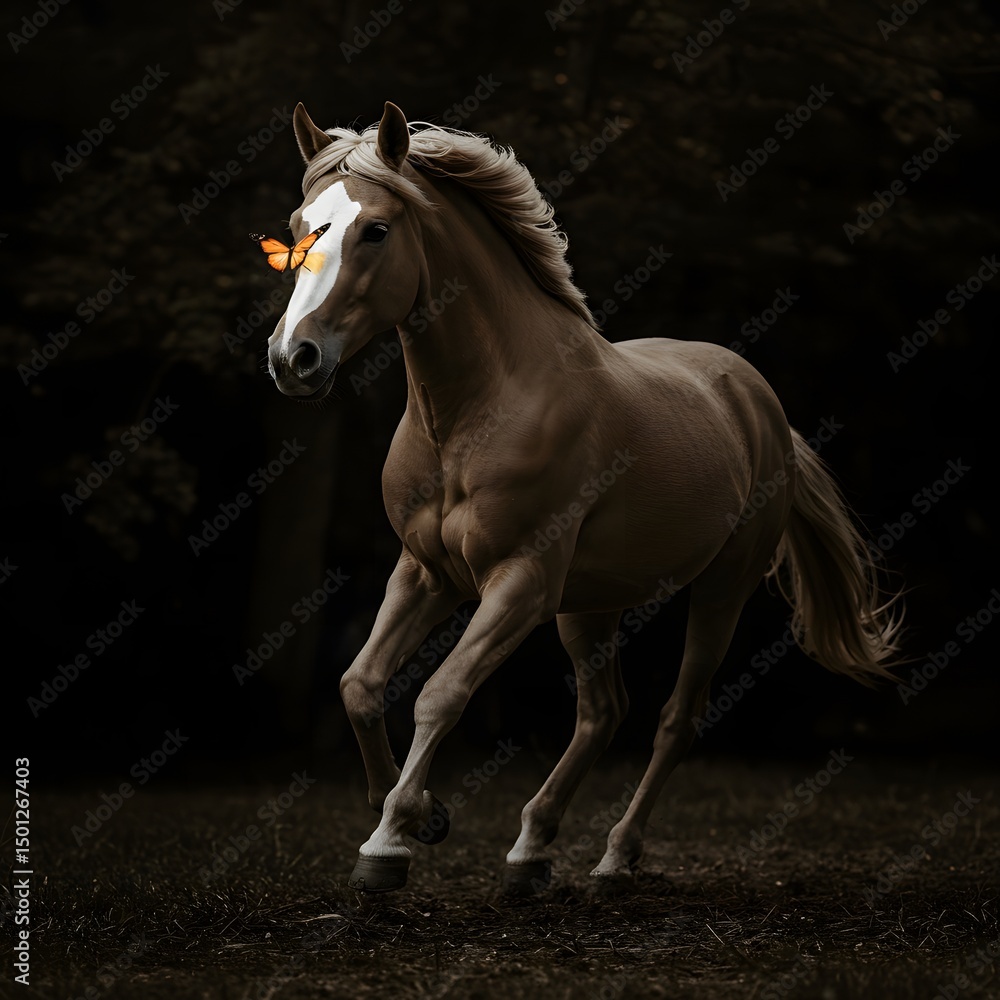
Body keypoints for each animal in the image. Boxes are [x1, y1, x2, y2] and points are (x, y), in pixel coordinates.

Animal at [265, 101, 902, 895]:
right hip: (591, 603)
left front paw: (389, 841)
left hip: (720, 588)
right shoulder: (426, 573)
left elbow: (441, 693)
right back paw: (531, 851)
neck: (476, 412)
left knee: (674, 717)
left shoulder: (521, 582)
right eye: (297, 225)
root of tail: (761, 404)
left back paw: (615, 857)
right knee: (603, 711)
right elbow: (360, 684)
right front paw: (422, 820)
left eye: (376, 230)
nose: (293, 359)